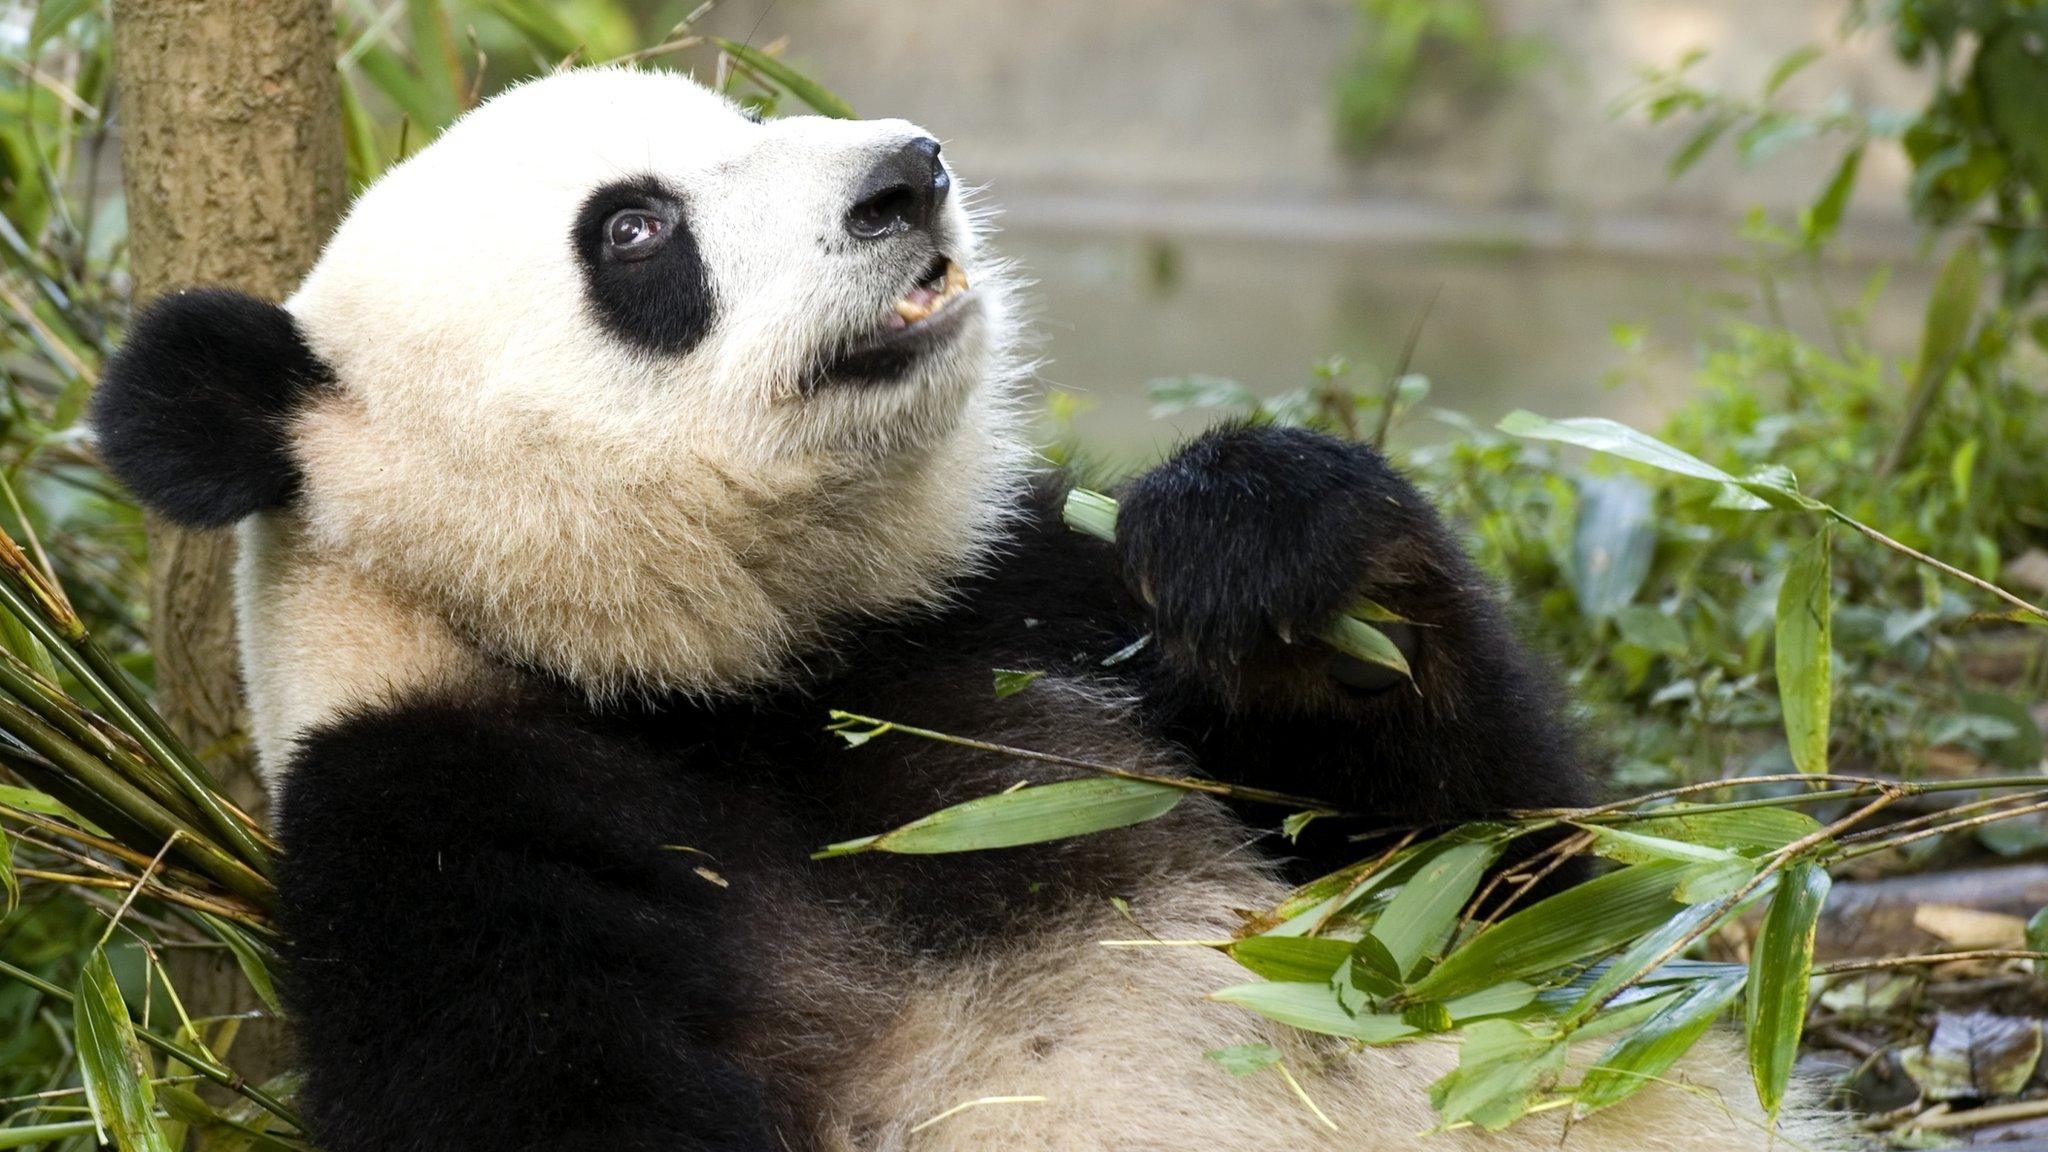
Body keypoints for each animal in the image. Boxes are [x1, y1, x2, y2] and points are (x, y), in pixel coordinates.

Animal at [88, 69, 1843, 1147]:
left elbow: (1502, 896)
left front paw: (1266, 545)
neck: (727, 671)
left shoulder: (1008, 605)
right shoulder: (437, 827)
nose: (906, 174)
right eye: (637, 225)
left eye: (743, 115)